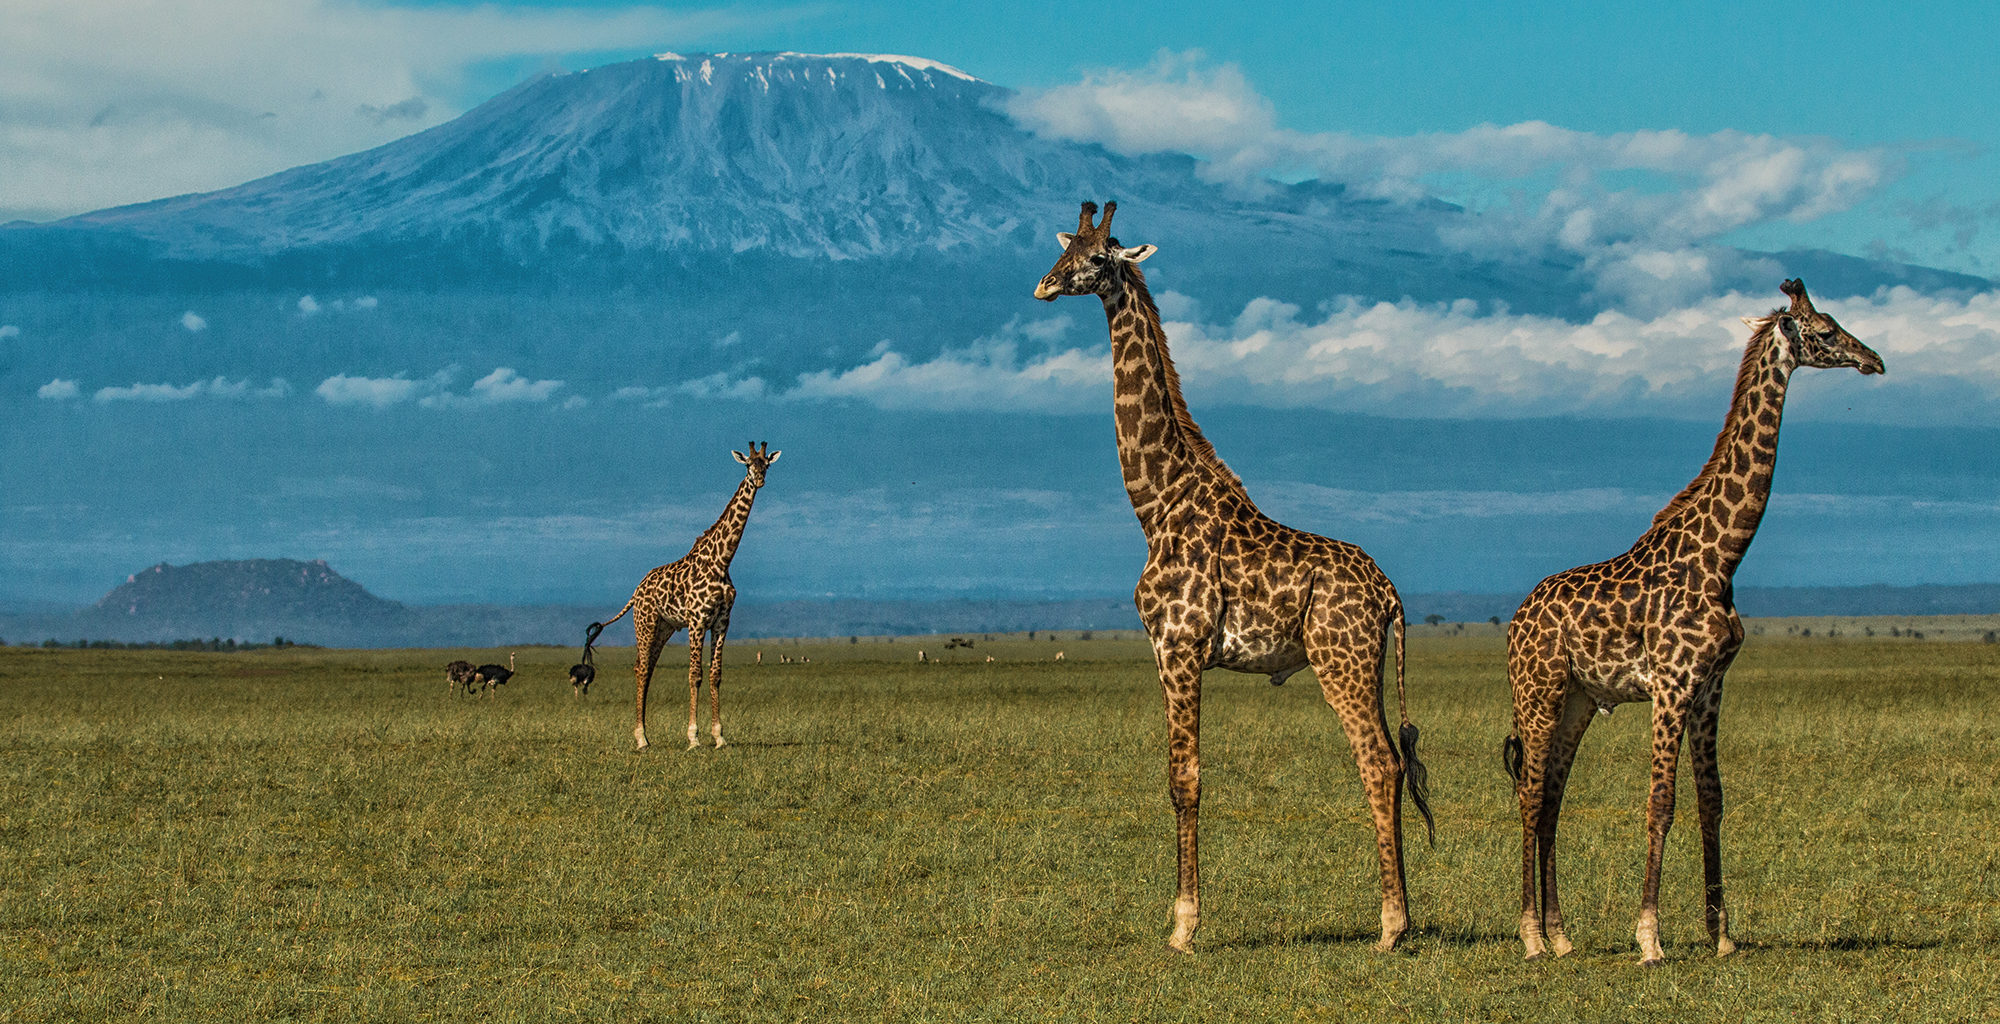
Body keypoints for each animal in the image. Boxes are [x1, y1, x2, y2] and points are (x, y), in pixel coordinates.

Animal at [588, 442, 776, 752]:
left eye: (767, 465)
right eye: (749, 465)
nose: (759, 480)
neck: (722, 561)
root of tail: (636, 591)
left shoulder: (722, 621)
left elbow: (715, 675)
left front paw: (719, 736)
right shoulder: (697, 621)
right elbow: (694, 675)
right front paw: (693, 737)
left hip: (664, 628)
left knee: (648, 668)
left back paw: (646, 735)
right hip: (645, 623)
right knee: (641, 669)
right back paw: (640, 738)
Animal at [1032, 204, 1440, 956]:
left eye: (1099, 257)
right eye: (1066, 247)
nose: (1044, 285)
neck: (1156, 504)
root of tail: (1392, 595)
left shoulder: (1178, 646)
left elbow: (1184, 780)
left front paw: (1183, 926)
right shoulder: (1173, 650)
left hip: (1339, 662)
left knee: (1377, 762)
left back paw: (1391, 927)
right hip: (1366, 665)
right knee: (1393, 764)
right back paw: (1399, 919)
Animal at [1504, 280, 1880, 968]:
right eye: (1825, 330)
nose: (1875, 360)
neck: (1723, 555)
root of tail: (1516, 620)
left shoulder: (1710, 687)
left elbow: (1713, 802)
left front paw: (1721, 933)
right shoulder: (1672, 685)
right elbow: (1661, 802)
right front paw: (1649, 937)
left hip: (1576, 700)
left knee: (1552, 801)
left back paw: (1563, 935)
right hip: (1538, 692)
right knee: (1530, 795)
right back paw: (1532, 937)